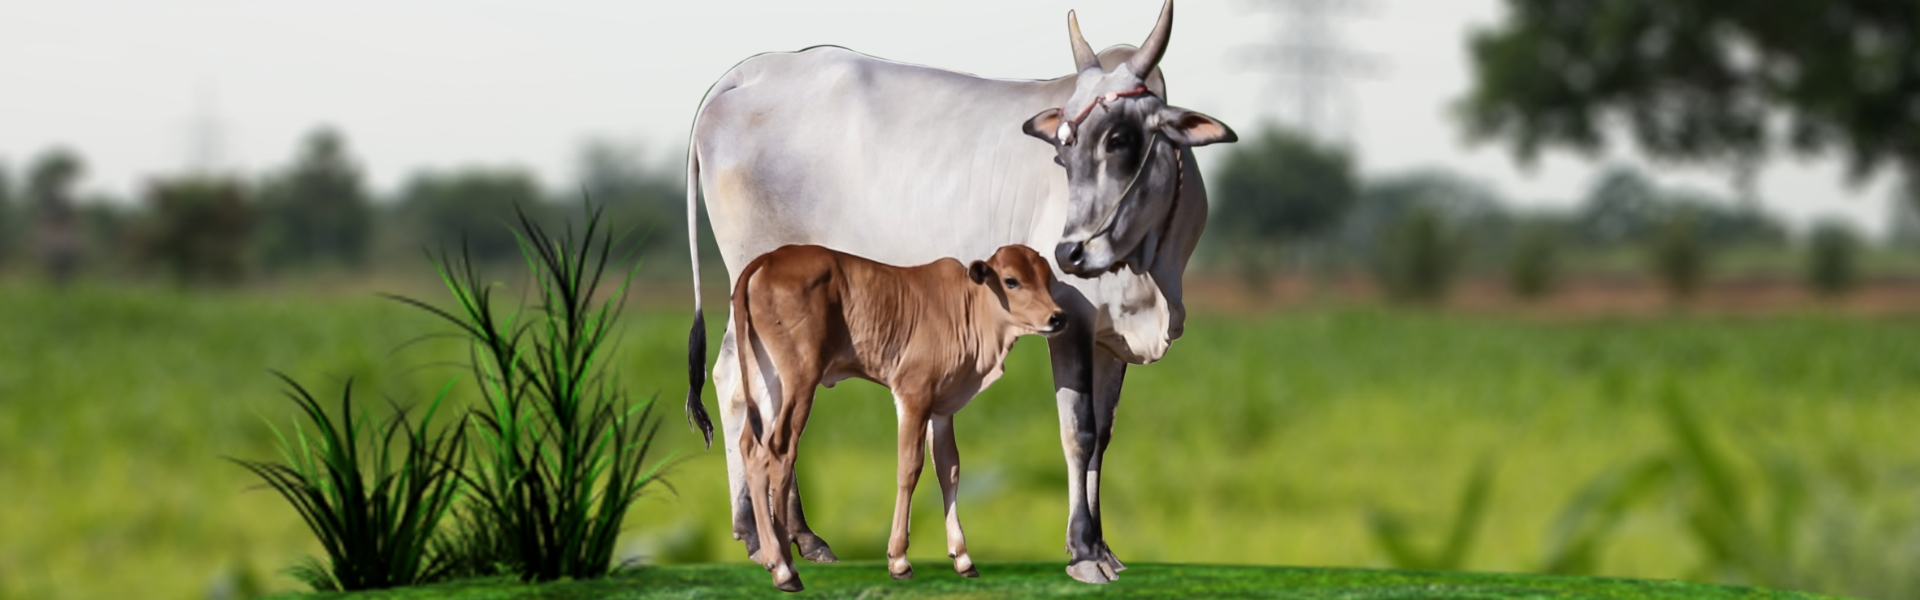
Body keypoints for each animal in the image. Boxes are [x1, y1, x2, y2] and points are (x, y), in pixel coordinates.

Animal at [720, 244, 1065, 591]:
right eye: (1011, 281)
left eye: (1046, 277)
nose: (1058, 317)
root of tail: (768, 258)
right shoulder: (913, 393)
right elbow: (909, 468)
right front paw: (899, 560)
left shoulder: (942, 409)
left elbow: (949, 469)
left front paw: (962, 557)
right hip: (800, 378)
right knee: (781, 450)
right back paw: (785, 568)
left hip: (767, 379)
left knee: (753, 449)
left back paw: (771, 557)